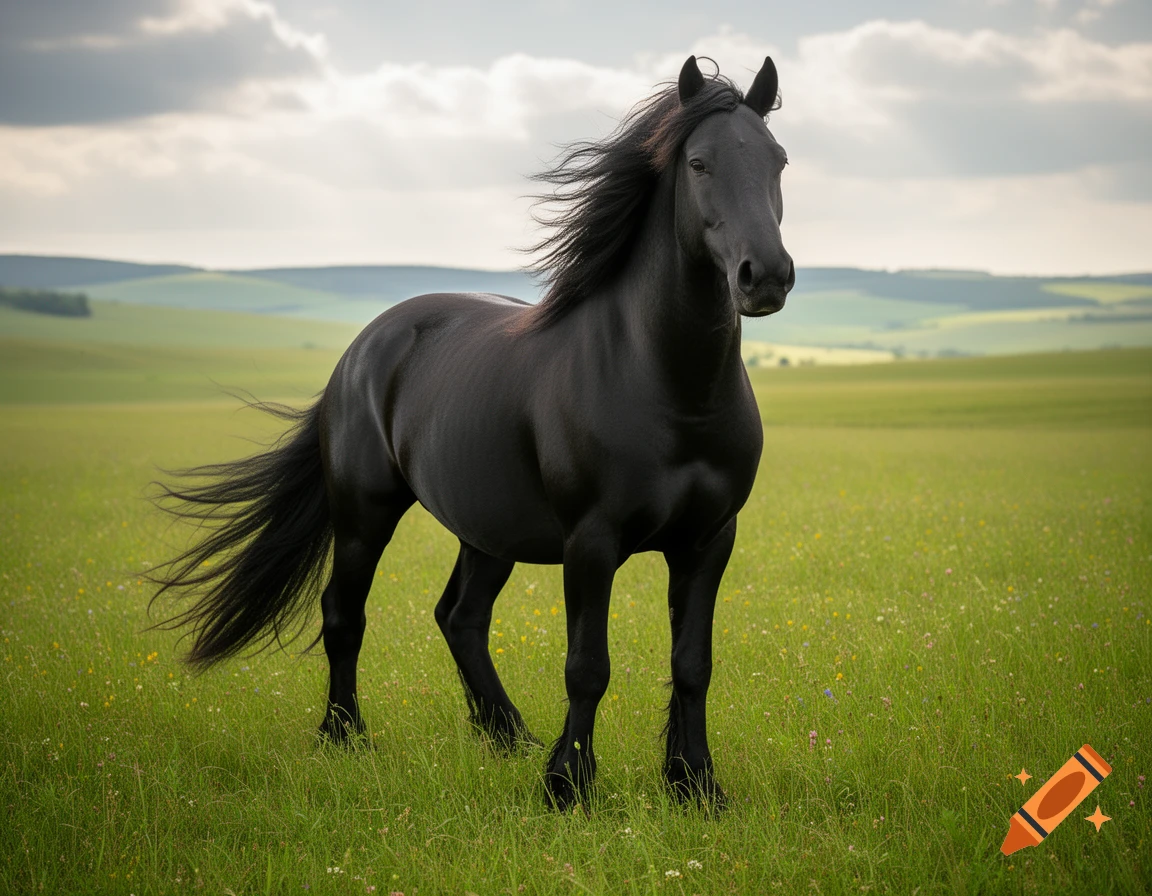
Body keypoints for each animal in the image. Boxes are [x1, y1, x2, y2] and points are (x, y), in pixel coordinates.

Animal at [151, 55, 794, 810]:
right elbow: (587, 665)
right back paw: (345, 737)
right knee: (344, 614)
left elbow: (693, 663)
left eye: (779, 160)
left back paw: (506, 734)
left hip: (489, 530)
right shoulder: (591, 542)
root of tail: (363, 348)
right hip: (365, 515)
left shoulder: (708, 541)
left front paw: (694, 785)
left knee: (459, 617)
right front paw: (568, 786)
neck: (670, 389)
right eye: (698, 162)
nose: (766, 276)